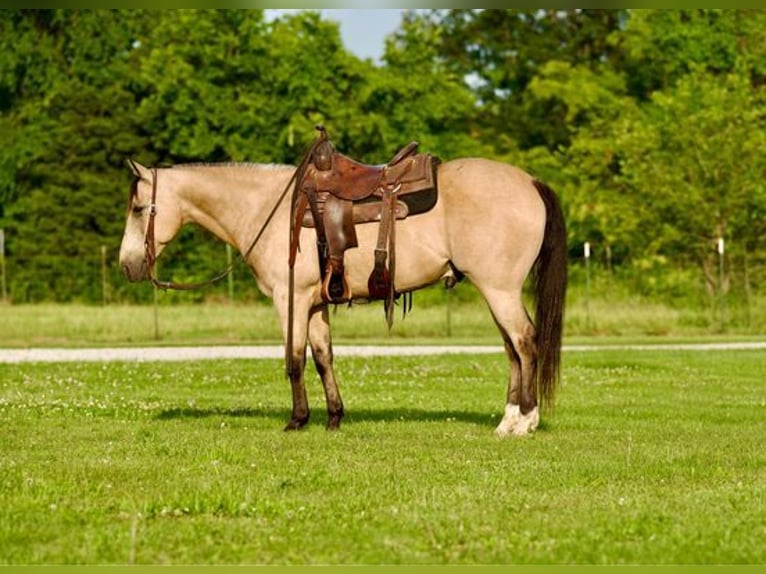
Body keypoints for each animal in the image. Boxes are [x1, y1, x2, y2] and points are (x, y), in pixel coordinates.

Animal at [118, 142, 564, 438]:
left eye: (139, 209)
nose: (127, 265)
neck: (268, 209)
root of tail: (530, 182)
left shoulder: (290, 299)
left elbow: (295, 360)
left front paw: (297, 420)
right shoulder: (316, 304)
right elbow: (323, 358)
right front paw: (334, 417)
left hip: (500, 290)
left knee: (525, 342)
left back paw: (525, 421)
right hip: (496, 292)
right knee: (512, 348)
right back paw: (508, 420)